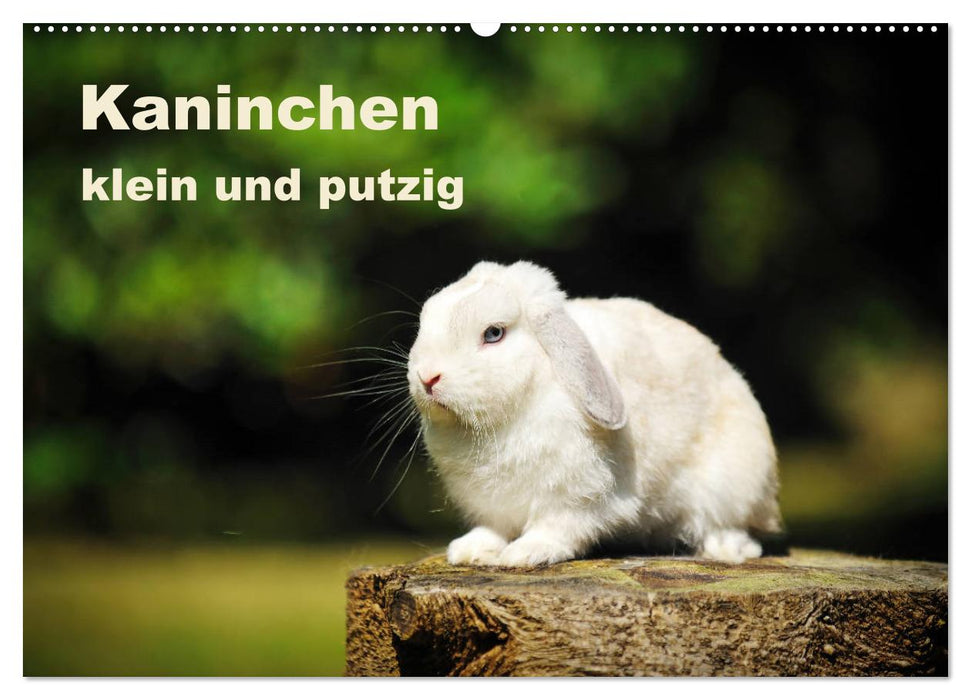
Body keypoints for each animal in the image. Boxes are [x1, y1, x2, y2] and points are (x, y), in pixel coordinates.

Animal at [406, 260, 782, 567]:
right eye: (425, 321)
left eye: (493, 333)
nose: (428, 377)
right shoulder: (493, 503)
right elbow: (494, 527)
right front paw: (470, 551)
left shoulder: (577, 497)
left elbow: (557, 527)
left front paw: (525, 554)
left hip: (730, 483)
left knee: (730, 526)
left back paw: (725, 549)